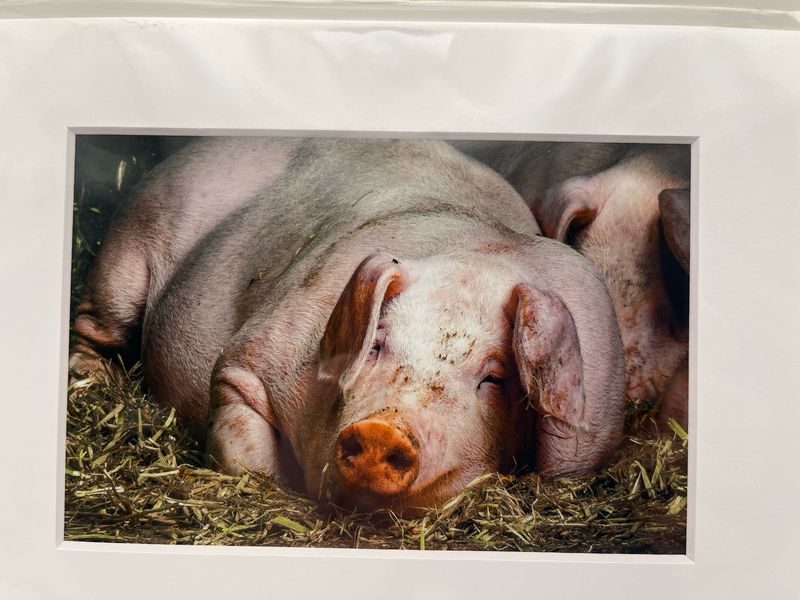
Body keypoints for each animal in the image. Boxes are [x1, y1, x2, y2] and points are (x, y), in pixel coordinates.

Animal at [70, 137, 626, 512]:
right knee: (95, 324)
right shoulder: (253, 356)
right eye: (377, 344)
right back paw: (88, 376)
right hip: (132, 242)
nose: (383, 430)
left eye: (495, 378)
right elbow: (243, 436)